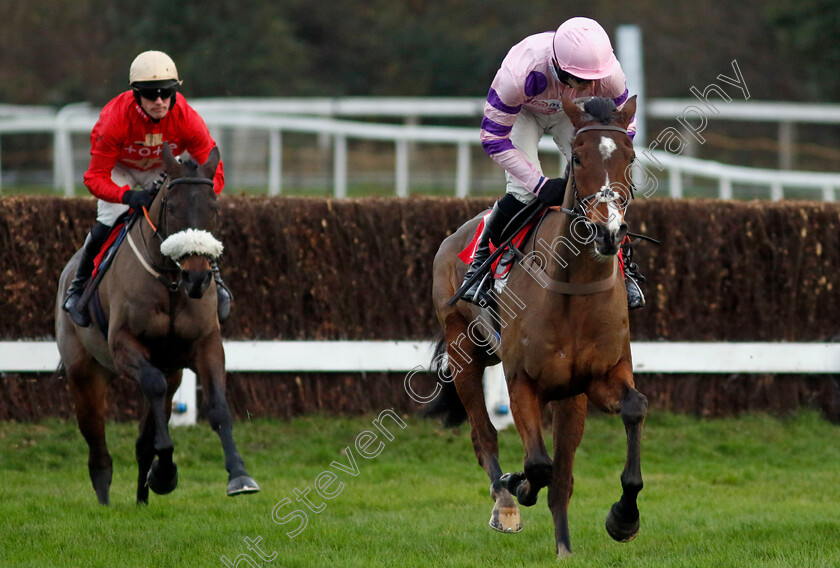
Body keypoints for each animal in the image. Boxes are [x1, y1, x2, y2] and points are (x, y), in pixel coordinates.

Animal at [54, 144, 258, 504]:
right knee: (98, 449)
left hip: (172, 371)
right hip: (84, 374)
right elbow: (151, 386)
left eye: (214, 208)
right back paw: (106, 503)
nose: (197, 278)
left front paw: (238, 474)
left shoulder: (206, 345)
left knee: (144, 436)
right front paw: (164, 471)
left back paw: (142, 498)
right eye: (172, 207)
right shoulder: (124, 346)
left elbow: (217, 407)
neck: (172, 284)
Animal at [430, 95, 648, 556]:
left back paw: (564, 545)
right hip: (464, 353)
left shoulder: (600, 378)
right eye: (578, 158)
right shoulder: (522, 382)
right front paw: (518, 485)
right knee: (484, 436)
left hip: (567, 395)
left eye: (630, 156)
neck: (573, 289)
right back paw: (506, 504)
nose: (608, 231)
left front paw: (624, 517)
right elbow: (537, 465)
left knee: (561, 476)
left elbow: (633, 410)